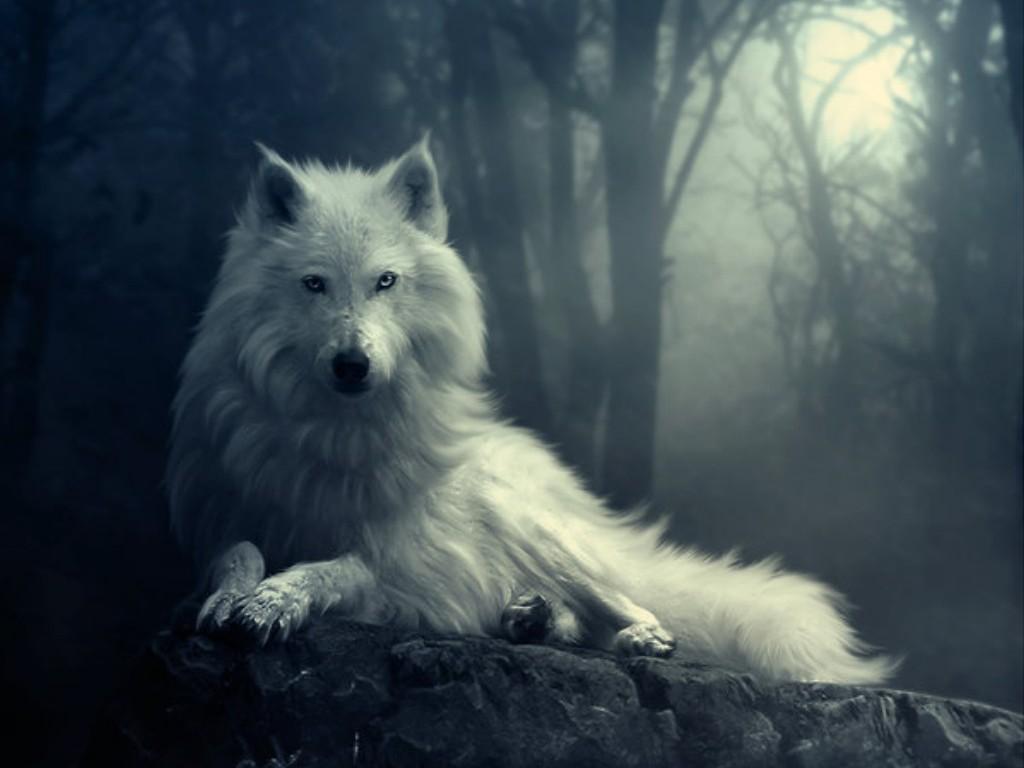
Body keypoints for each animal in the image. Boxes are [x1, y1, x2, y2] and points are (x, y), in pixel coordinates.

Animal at [167, 138, 895, 684]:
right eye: (314, 284)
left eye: (385, 282)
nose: (353, 364)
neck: (335, 434)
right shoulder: (223, 516)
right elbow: (237, 553)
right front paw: (232, 597)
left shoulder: (398, 564)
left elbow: (333, 568)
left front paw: (275, 600)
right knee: (566, 616)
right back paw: (531, 617)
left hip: (537, 532)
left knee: (634, 606)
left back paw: (633, 637)